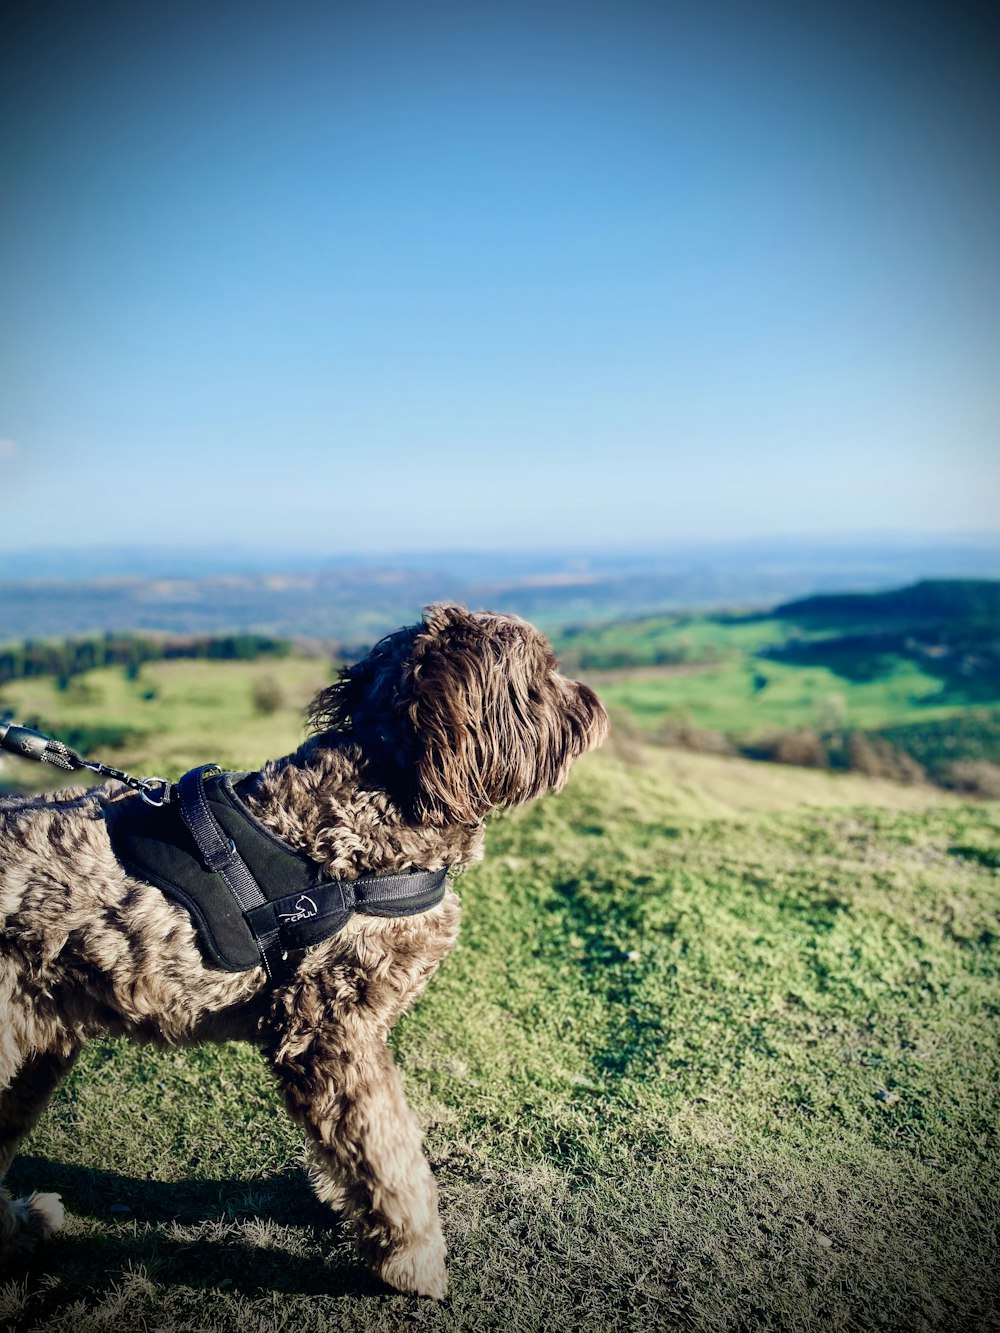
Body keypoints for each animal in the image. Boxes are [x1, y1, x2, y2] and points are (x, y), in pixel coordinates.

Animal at [0, 610, 610, 1295]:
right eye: (545, 672)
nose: (596, 706)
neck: (379, 800)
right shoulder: (330, 1028)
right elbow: (388, 1150)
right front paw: (413, 1258)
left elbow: (354, 1148)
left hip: (33, 1051)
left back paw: (21, 1226)